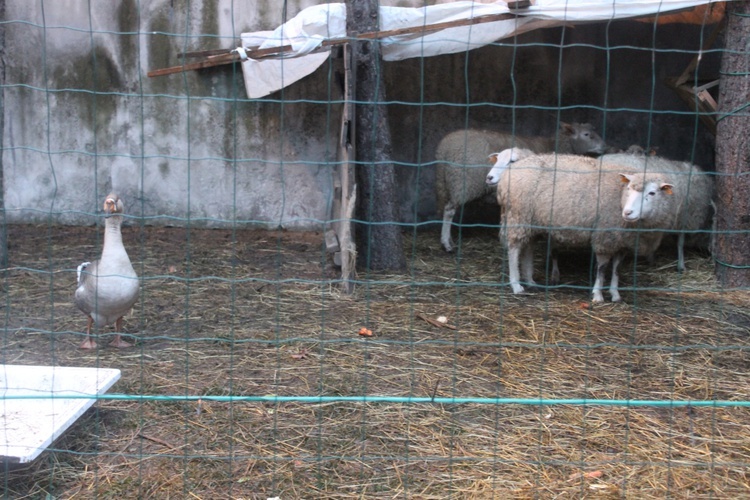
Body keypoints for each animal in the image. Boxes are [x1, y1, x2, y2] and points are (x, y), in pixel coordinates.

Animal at [434, 121, 612, 254]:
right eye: (587, 134)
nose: (605, 147)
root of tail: (444, 148)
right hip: (462, 183)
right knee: (449, 211)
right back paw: (446, 244)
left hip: (447, 183)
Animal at [496, 153, 680, 300]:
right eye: (628, 188)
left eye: (652, 193)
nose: (627, 212)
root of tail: (507, 175)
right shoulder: (604, 237)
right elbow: (602, 268)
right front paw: (597, 295)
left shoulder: (622, 242)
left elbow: (616, 269)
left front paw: (615, 294)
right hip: (518, 216)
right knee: (514, 249)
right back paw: (516, 284)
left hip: (531, 222)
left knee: (528, 248)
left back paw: (530, 281)